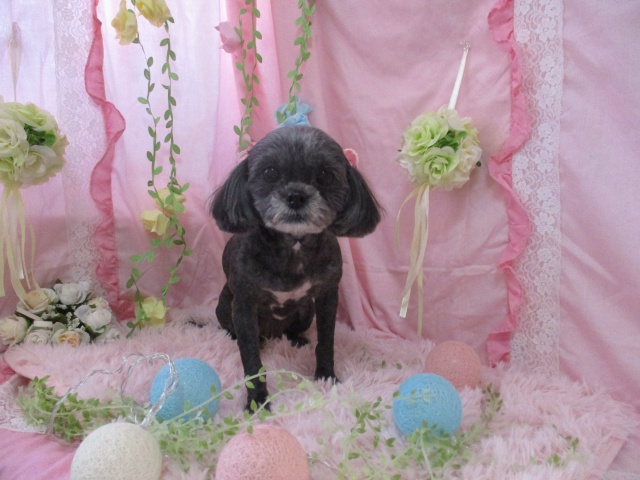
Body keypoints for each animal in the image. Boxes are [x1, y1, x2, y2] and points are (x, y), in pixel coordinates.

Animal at [210, 125, 381, 410]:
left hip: (305, 312)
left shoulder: (327, 297)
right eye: (269, 172)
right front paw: (257, 400)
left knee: (293, 330)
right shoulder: (243, 304)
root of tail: (272, 334)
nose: (296, 196)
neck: (294, 246)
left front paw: (326, 375)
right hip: (225, 307)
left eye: (324, 175)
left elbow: (326, 341)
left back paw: (297, 339)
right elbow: (251, 358)